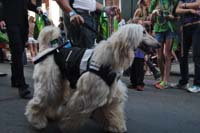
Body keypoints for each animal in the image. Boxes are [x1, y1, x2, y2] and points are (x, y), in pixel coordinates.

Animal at [24, 24, 159, 132]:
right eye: (143, 32)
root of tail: (46, 49)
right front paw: (67, 126)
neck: (113, 57)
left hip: (58, 82)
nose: (158, 44)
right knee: (37, 102)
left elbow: (112, 111)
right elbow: (75, 113)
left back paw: (50, 115)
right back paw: (37, 121)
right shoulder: (88, 95)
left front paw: (115, 126)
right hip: (48, 83)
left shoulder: (110, 92)